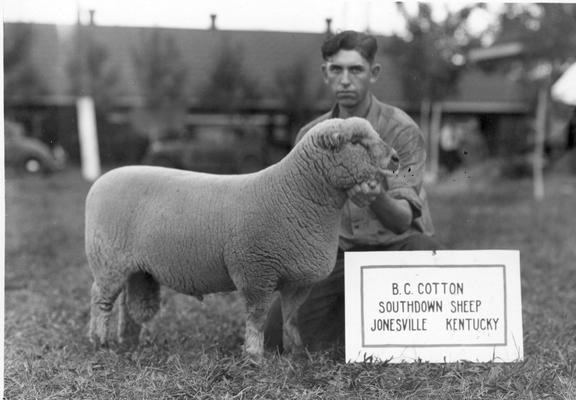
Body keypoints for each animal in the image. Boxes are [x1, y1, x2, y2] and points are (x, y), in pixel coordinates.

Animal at [86, 117, 400, 358]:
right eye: (356, 142)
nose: (396, 158)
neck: (294, 193)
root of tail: (101, 180)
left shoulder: (298, 281)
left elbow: (291, 318)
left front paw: (296, 353)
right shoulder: (256, 271)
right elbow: (258, 318)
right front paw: (253, 355)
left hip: (135, 268)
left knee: (128, 305)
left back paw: (129, 343)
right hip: (108, 260)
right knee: (101, 300)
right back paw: (101, 342)